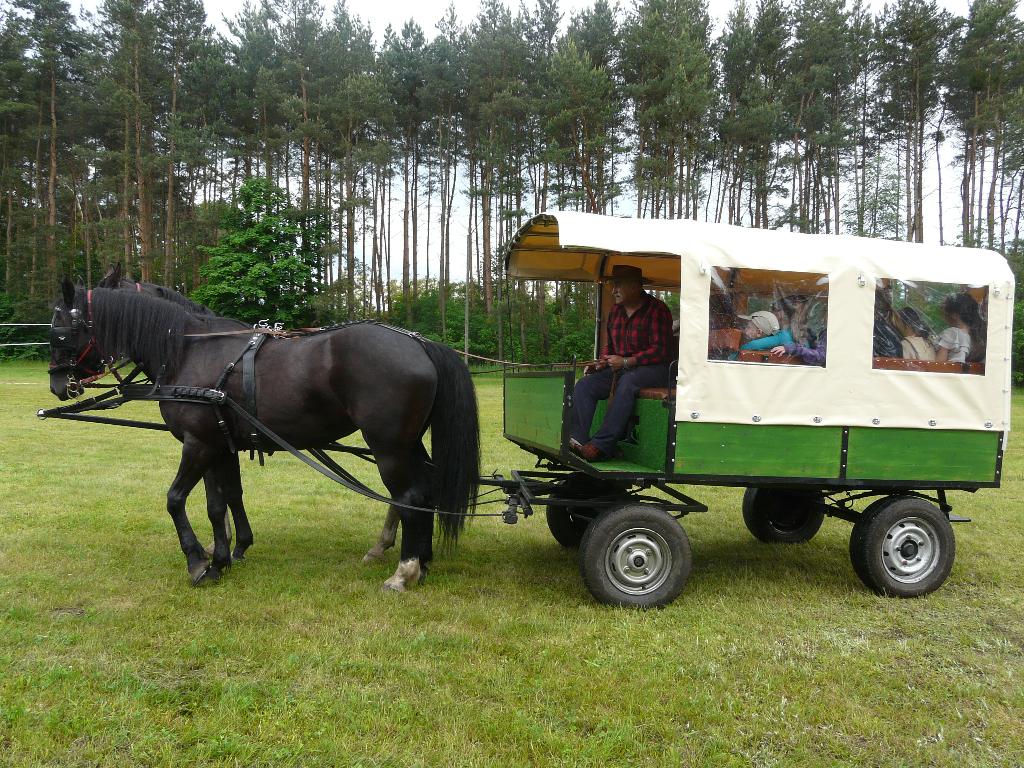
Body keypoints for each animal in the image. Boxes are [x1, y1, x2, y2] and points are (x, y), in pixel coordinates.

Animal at [48, 280, 479, 593]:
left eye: (61, 330)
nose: (57, 384)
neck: (189, 352)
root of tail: (419, 343)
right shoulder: (220, 444)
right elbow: (222, 501)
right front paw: (227, 554)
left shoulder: (198, 443)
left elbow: (175, 499)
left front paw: (198, 563)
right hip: (409, 443)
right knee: (423, 491)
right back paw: (421, 561)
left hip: (388, 446)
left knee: (410, 497)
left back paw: (404, 571)